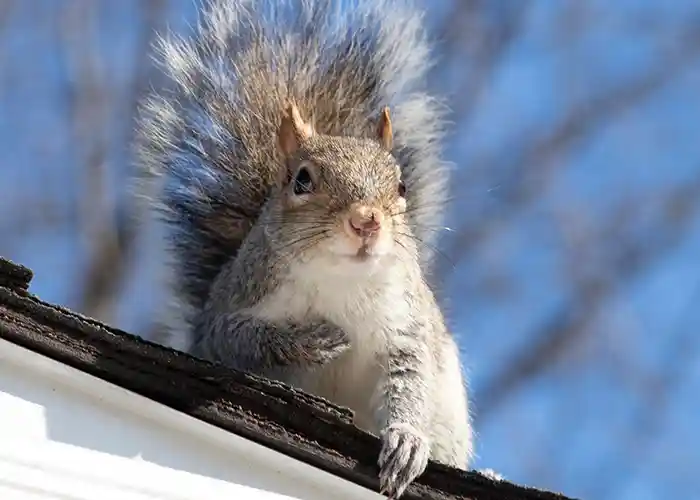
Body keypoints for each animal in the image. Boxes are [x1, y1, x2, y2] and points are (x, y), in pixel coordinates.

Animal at [135, 0, 473, 497]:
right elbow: (240, 340)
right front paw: (310, 340)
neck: (341, 280)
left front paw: (407, 440)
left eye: (401, 186)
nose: (366, 221)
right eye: (301, 180)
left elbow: (409, 380)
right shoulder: (232, 310)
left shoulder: (405, 327)